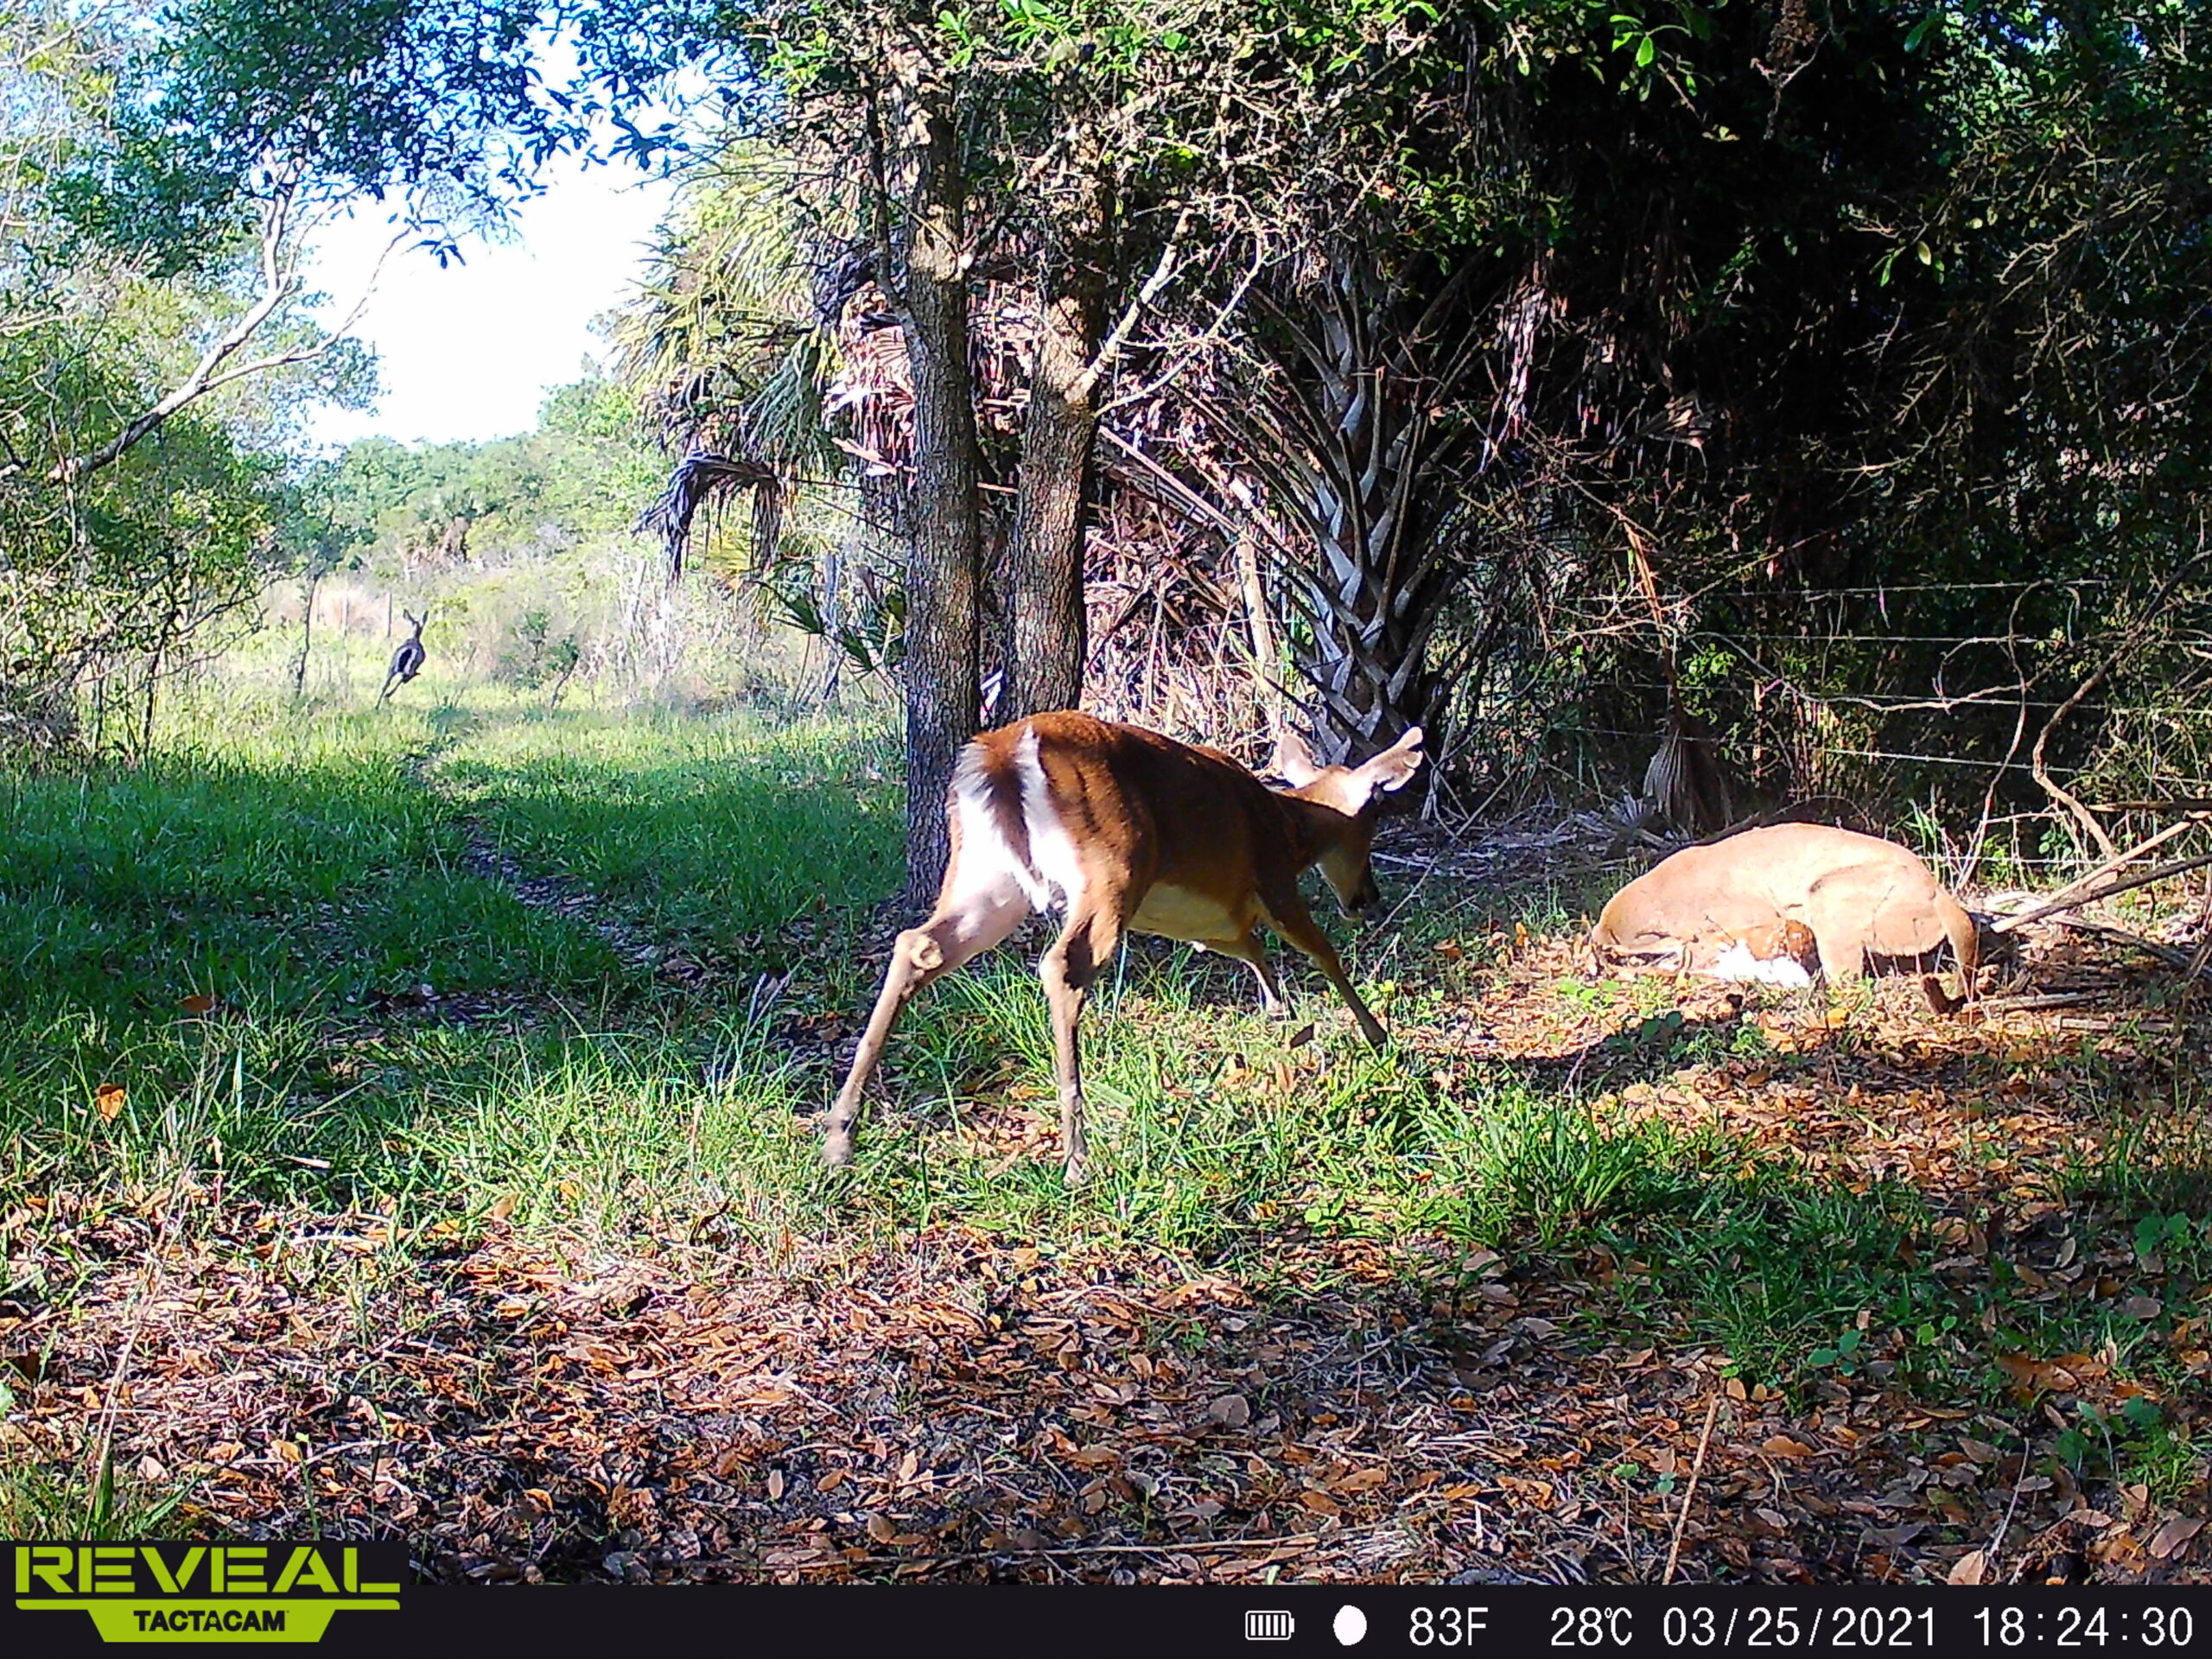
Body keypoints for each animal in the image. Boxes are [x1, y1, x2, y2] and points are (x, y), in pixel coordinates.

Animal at [823, 712, 1424, 1185]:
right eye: (1373, 820)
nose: (1367, 897)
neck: (1288, 823)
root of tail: (1002, 753)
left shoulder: (1213, 921)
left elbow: (1253, 952)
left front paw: (1283, 1021)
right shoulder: (1273, 879)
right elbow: (1322, 953)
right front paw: (1379, 1039)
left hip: (987, 877)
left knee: (917, 945)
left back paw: (838, 1136)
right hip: (1110, 864)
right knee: (1064, 964)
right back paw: (1077, 1159)